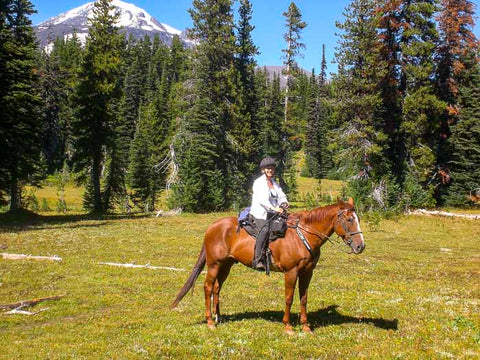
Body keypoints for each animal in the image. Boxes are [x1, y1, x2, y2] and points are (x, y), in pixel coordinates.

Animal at [172, 198, 364, 334]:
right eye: (349, 219)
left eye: (358, 219)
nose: (360, 246)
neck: (303, 236)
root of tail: (211, 227)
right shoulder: (291, 272)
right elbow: (289, 298)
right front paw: (288, 327)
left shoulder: (307, 273)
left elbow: (303, 299)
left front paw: (306, 327)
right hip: (214, 264)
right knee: (207, 287)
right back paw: (210, 322)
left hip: (226, 265)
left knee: (216, 288)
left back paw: (218, 317)